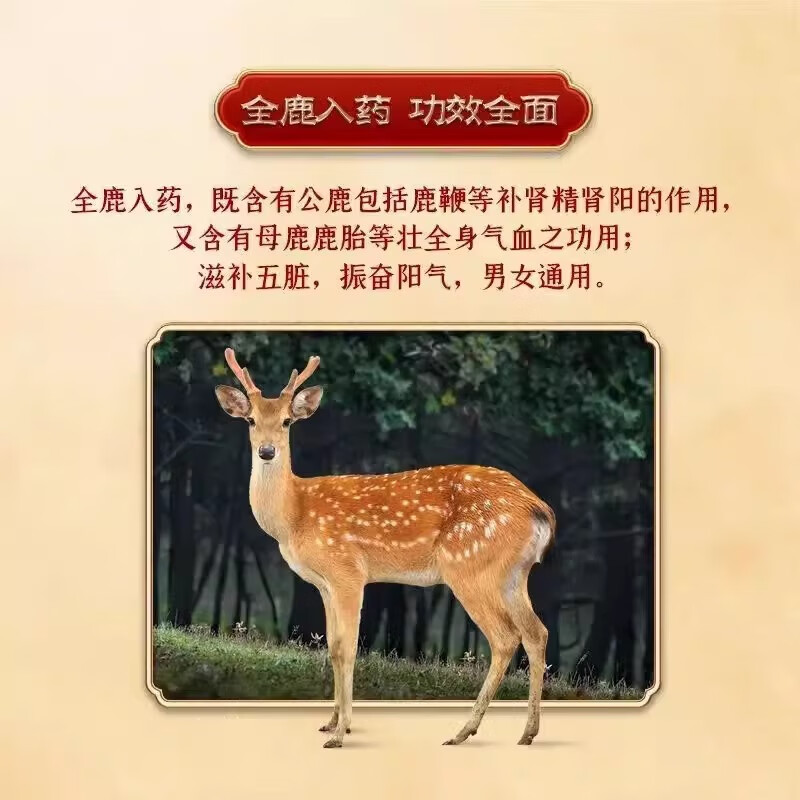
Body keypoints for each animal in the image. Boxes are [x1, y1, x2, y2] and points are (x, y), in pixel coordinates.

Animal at [214, 347, 556, 748]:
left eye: (286, 422)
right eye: (251, 420)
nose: (267, 451)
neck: (295, 515)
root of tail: (538, 508)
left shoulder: (348, 571)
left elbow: (348, 648)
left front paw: (341, 733)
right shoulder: (324, 584)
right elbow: (332, 647)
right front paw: (330, 722)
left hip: (469, 565)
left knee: (505, 638)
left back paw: (464, 731)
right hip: (514, 574)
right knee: (536, 633)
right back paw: (527, 732)